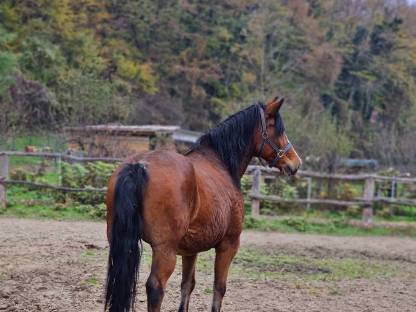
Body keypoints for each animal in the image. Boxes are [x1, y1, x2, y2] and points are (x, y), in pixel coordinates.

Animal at [103, 97, 300, 312]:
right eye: (277, 130)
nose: (295, 163)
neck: (221, 163)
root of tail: (139, 165)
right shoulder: (228, 245)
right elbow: (219, 288)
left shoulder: (190, 250)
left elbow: (187, 286)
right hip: (165, 251)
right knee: (155, 287)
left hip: (119, 244)